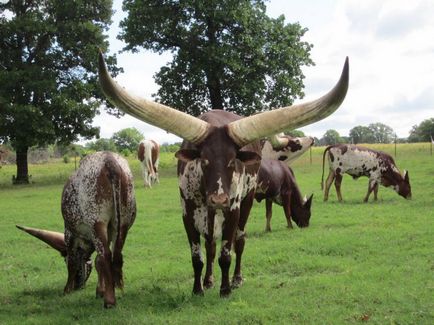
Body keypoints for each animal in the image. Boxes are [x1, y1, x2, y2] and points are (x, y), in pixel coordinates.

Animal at [17, 151, 136, 306]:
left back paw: (109, 301)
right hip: (123, 223)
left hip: (97, 222)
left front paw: (67, 289)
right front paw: (100, 291)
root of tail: (109, 160)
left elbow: (73, 262)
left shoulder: (70, 234)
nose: (78, 286)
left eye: (64, 259)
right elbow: (97, 261)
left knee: (106, 255)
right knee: (115, 254)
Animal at [98, 51, 350, 296]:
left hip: (245, 203)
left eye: (232, 160)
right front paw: (199, 288)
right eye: (204, 160)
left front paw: (226, 288)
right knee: (210, 244)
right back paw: (209, 280)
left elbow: (226, 253)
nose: (218, 199)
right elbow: (198, 255)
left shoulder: (233, 209)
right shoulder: (187, 213)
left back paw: (236, 279)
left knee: (240, 240)